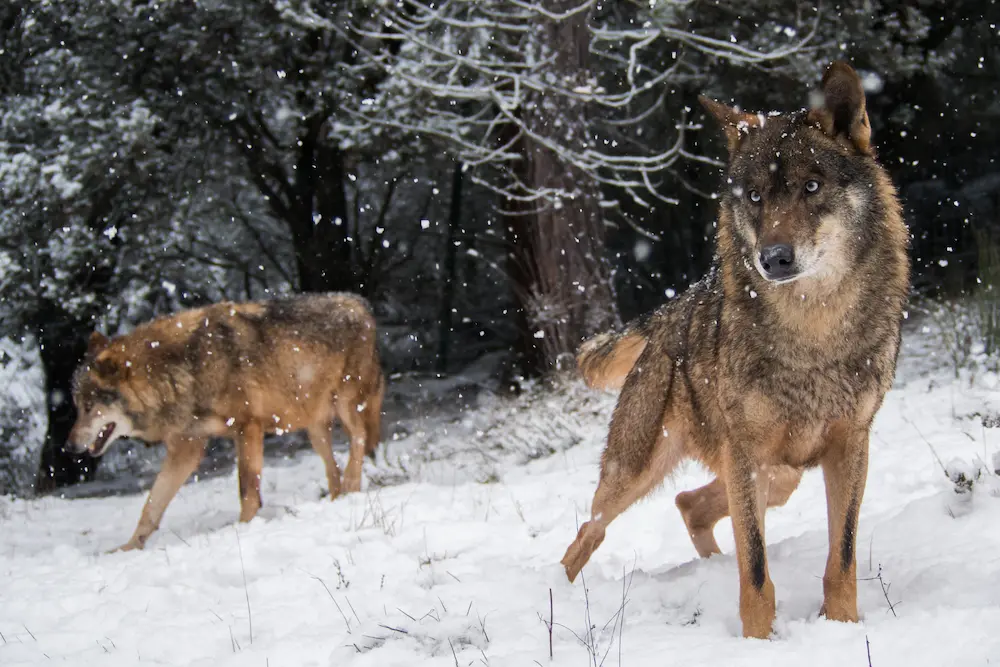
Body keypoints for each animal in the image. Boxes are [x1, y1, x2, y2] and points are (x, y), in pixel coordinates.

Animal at [66, 294, 384, 552]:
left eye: (90, 407)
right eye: (77, 407)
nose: (69, 447)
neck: (183, 369)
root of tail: (361, 304)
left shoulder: (247, 427)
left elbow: (247, 490)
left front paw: (243, 529)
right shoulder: (186, 448)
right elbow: (151, 505)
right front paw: (129, 547)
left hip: (345, 404)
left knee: (359, 438)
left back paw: (352, 485)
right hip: (314, 428)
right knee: (333, 468)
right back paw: (338, 498)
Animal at [560, 61, 912, 636]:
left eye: (811, 186)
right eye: (754, 197)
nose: (774, 258)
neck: (812, 330)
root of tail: (668, 313)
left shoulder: (851, 444)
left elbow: (841, 557)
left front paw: (841, 628)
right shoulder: (746, 451)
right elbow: (757, 571)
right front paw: (758, 641)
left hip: (779, 474)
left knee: (688, 503)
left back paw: (710, 567)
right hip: (639, 472)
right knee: (589, 533)